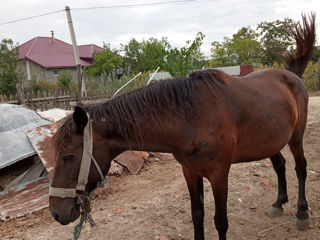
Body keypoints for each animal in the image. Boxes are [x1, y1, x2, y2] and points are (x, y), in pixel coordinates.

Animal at [49, 15, 316, 240]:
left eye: (69, 156)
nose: (55, 212)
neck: (191, 119)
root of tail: (292, 75)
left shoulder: (219, 175)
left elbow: (220, 221)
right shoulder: (190, 172)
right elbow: (197, 216)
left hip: (295, 139)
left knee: (300, 168)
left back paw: (302, 212)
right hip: (270, 142)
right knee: (280, 165)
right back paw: (279, 203)